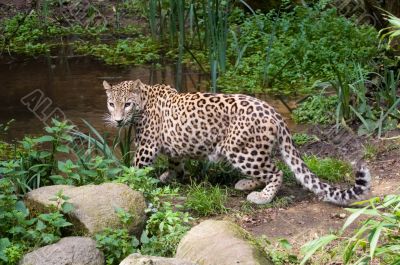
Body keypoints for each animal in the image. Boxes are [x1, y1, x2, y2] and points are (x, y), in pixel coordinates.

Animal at [104, 78, 372, 204]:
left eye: (127, 104)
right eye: (111, 103)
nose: (117, 121)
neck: (144, 101)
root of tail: (275, 113)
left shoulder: (146, 147)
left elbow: (135, 170)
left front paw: (124, 185)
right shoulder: (173, 149)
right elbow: (175, 164)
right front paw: (170, 177)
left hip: (241, 151)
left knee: (276, 171)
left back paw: (262, 197)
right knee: (267, 170)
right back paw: (246, 184)